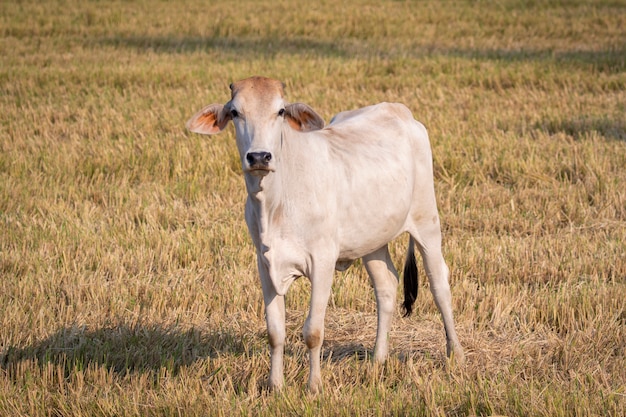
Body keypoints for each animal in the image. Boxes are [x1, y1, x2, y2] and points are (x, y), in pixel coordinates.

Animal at [183, 76, 460, 392]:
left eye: (280, 111)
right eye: (234, 112)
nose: (259, 157)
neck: (275, 204)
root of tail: (399, 109)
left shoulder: (323, 261)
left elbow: (313, 331)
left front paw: (313, 386)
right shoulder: (265, 264)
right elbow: (275, 331)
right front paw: (275, 386)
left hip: (427, 221)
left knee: (440, 284)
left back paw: (456, 354)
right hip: (373, 240)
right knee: (386, 286)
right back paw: (378, 360)